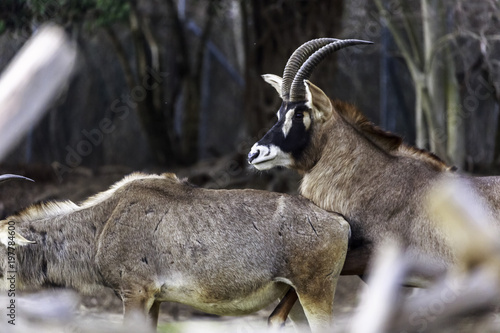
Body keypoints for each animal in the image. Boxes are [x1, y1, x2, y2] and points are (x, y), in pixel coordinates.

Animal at [0, 171, 350, 330]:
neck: (102, 224)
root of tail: (341, 222)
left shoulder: (135, 293)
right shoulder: (154, 299)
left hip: (316, 292)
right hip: (297, 301)